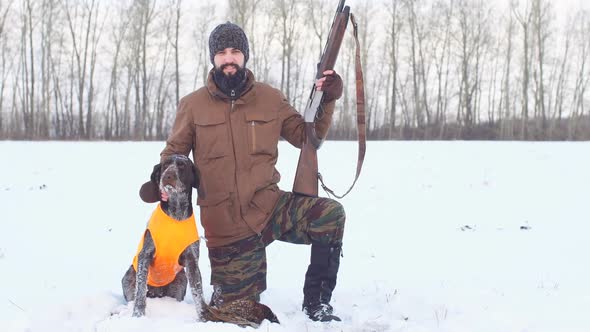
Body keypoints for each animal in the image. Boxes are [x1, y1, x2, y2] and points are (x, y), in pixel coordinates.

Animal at [121, 156, 280, 326]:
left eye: (182, 166)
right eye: (165, 165)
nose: (167, 176)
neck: (176, 215)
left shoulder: (192, 262)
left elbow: (198, 293)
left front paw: (204, 317)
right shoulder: (145, 256)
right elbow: (140, 291)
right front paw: (138, 315)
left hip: (181, 281)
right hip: (128, 277)